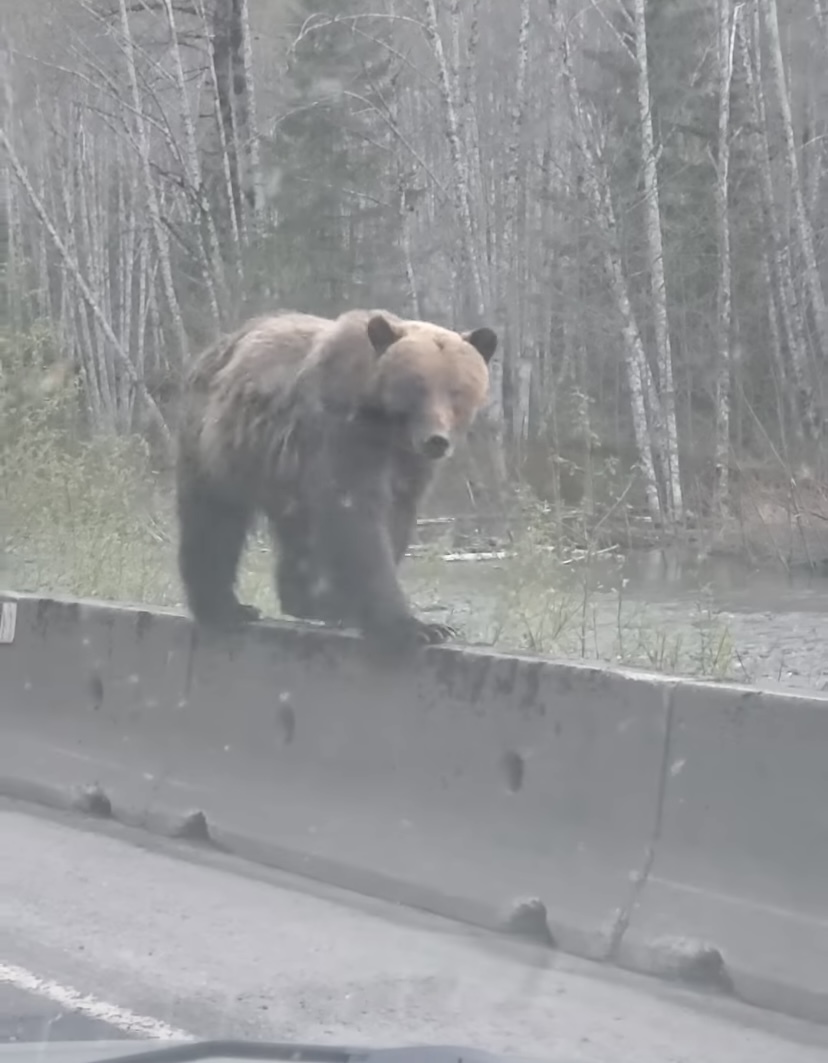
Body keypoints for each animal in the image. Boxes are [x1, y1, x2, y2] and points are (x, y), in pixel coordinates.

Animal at [175, 308, 499, 650]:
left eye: (457, 391)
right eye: (418, 387)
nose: (436, 440)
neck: (388, 428)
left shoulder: (409, 466)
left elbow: (395, 519)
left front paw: (348, 606)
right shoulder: (341, 433)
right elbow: (356, 518)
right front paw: (414, 627)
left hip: (280, 473)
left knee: (296, 536)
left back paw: (310, 600)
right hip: (222, 445)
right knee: (213, 521)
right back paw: (226, 607)